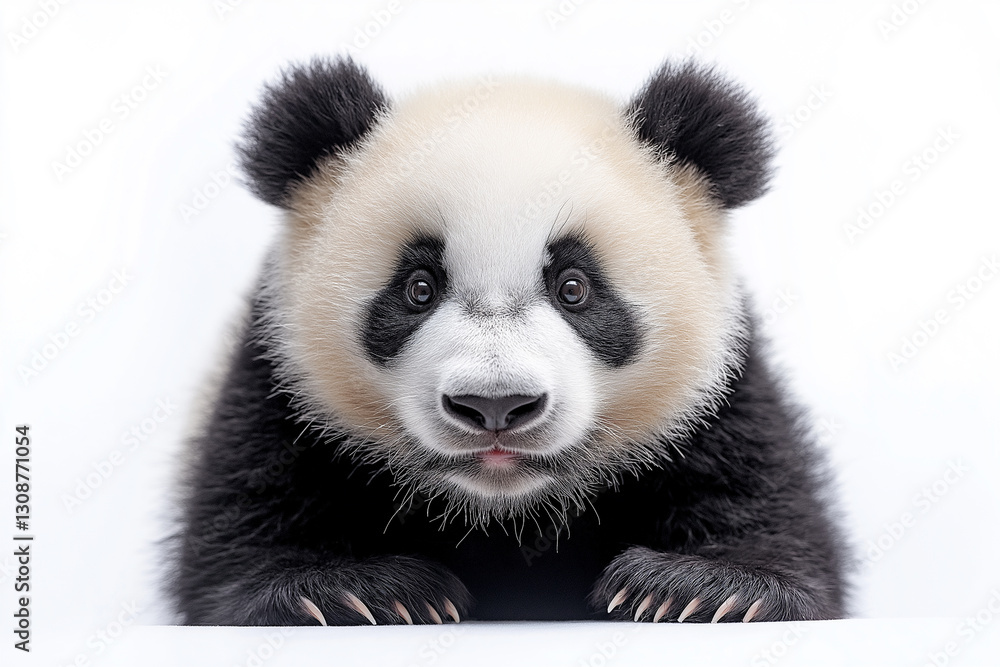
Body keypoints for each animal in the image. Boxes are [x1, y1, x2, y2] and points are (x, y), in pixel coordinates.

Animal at [171, 57, 847, 626]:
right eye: (419, 287)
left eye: (574, 288)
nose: (495, 405)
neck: (505, 510)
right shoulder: (278, 376)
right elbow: (249, 506)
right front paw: (353, 591)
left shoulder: (721, 392)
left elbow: (760, 494)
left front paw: (700, 587)